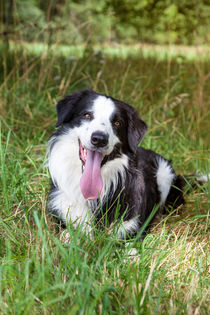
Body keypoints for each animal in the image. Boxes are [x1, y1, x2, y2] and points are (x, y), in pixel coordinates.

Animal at [46, 89, 204, 239]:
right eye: (87, 115)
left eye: (117, 123)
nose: (99, 139)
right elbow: (67, 235)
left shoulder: (133, 227)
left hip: (165, 173)